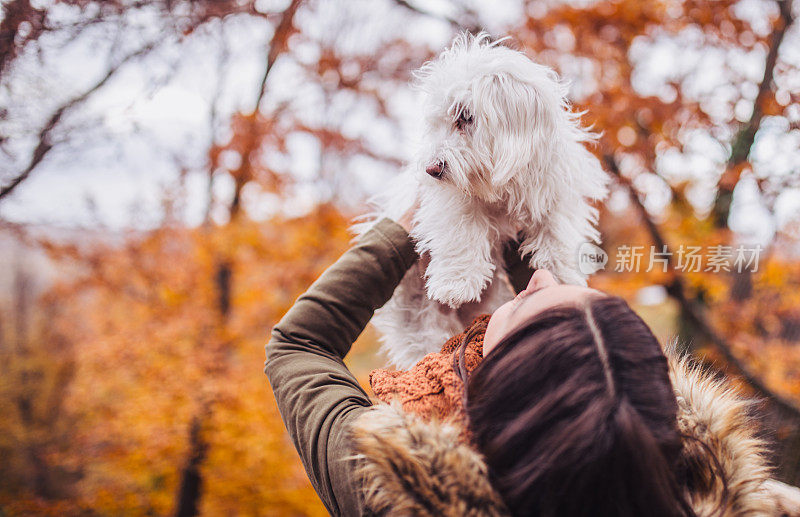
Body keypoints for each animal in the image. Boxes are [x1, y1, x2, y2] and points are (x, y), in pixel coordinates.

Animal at [362, 33, 608, 366]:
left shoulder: (555, 192)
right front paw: (455, 284)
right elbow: (461, 231)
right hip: (418, 319)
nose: (431, 169)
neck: (498, 184)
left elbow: (556, 232)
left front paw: (561, 277)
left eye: (465, 117)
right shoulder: (451, 200)